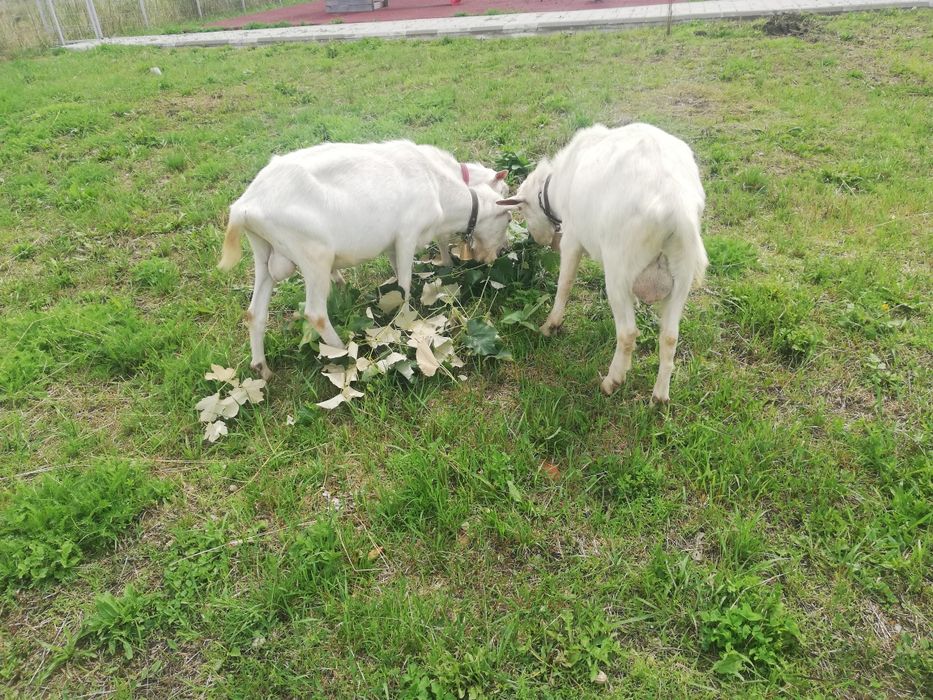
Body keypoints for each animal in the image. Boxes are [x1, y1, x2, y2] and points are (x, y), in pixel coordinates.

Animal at [219, 140, 511, 380]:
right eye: (508, 219)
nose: (494, 256)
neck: (439, 186)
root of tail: (244, 208)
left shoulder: (394, 246)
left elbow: (398, 274)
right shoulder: (407, 235)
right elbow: (405, 283)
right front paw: (406, 319)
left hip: (264, 253)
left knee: (255, 313)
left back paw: (262, 368)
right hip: (313, 254)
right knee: (315, 313)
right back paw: (341, 351)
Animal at [498, 123, 708, 403]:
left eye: (522, 211)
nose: (538, 240)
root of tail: (677, 211)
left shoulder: (572, 238)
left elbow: (565, 283)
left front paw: (551, 325)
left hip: (620, 268)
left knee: (628, 332)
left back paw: (612, 381)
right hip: (681, 276)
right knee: (670, 336)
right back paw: (660, 397)